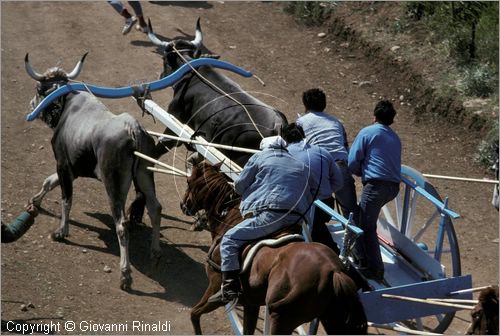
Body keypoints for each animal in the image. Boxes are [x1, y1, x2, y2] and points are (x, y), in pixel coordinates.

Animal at [181, 161, 368, 334]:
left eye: (189, 181)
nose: (184, 205)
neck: (229, 217)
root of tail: (333, 271)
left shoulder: (215, 286)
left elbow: (194, 314)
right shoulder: (251, 304)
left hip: (281, 318)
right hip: (333, 320)